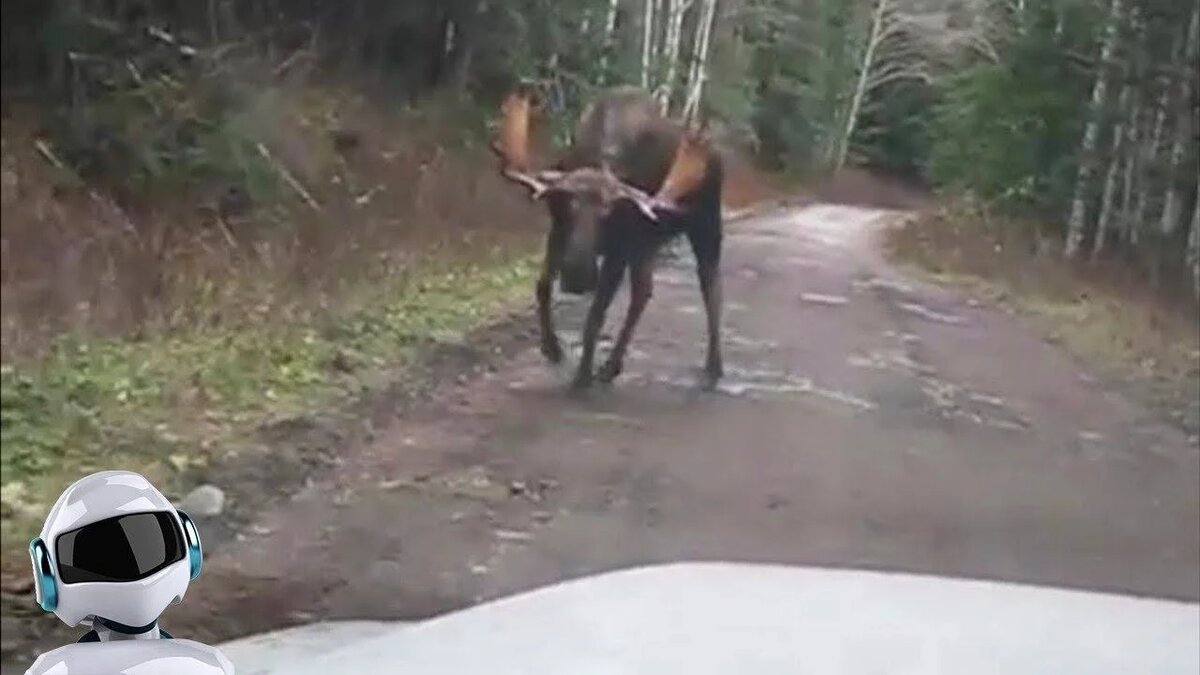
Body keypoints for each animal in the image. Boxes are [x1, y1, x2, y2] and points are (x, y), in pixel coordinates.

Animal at [492, 84, 724, 389]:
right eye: (569, 206)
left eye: (607, 212)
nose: (577, 275)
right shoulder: (559, 230)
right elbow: (542, 287)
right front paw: (552, 348)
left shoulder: (619, 248)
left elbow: (595, 313)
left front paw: (582, 375)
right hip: (647, 243)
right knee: (643, 292)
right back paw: (612, 366)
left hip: (706, 228)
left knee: (711, 288)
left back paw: (713, 367)